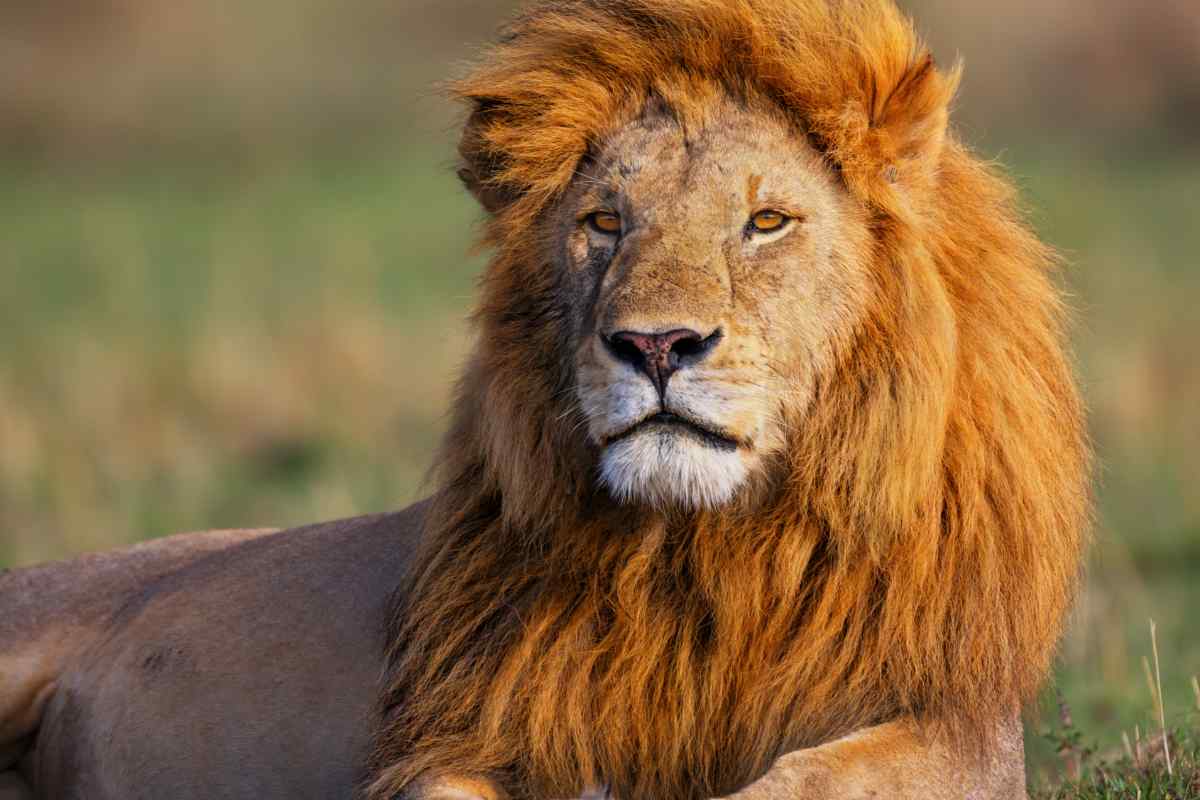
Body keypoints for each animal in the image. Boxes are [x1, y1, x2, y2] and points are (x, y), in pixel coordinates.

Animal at [0, 0, 1089, 798]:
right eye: (605, 221)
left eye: (767, 221)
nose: (655, 345)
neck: (701, 553)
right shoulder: (467, 734)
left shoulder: (955, 723)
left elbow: (807, 780)